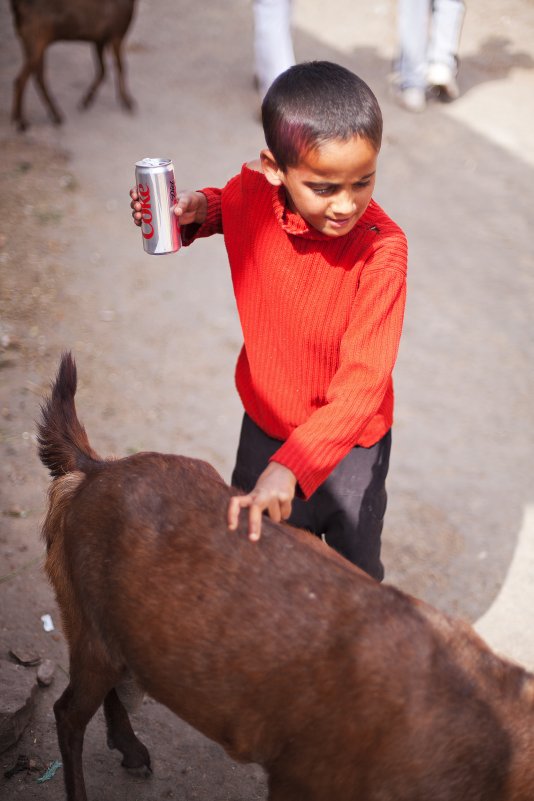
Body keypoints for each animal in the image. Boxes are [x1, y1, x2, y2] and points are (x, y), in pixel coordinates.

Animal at [9, 0, 136, 130]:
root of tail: (18, 7)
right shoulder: (117, 34)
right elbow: (120, 67)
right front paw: (128, 102)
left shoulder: (99, 39)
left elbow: (102, 70)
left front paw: (85, 101)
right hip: (36, 40)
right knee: (22, 79)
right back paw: (21, 122)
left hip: (33, 43)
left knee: (38, 78)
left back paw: (56, 117)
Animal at [38, 354, 534, 800]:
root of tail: (94, 469)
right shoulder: (302, 775)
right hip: (87, 623)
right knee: (66, 714)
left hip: (114, 634)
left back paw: (132, 751)